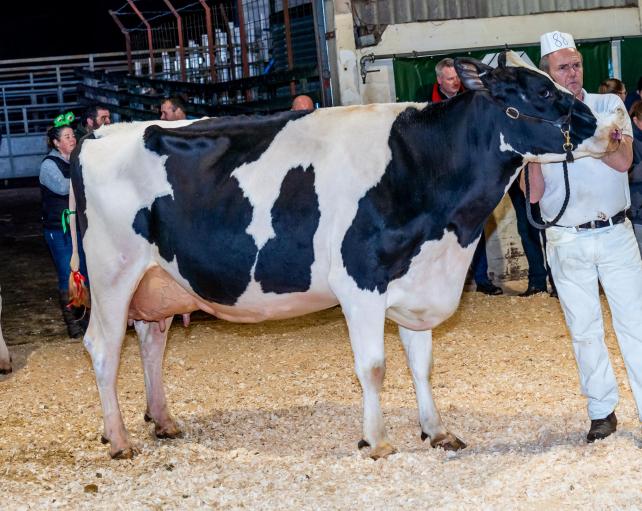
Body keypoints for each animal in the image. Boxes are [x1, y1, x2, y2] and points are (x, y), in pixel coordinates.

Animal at [71, 53, 624, 460]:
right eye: (542, 92)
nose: (609, 129)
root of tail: (99, 134)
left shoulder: (416, 280)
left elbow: (422, 364)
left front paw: (436, 431)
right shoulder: (361, 282)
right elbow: (374, 366)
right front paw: (375, 441)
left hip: (157, 280)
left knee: (151, 341)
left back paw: (162, 421)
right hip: (111, 272)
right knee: (103, 347)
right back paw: (118, 440)